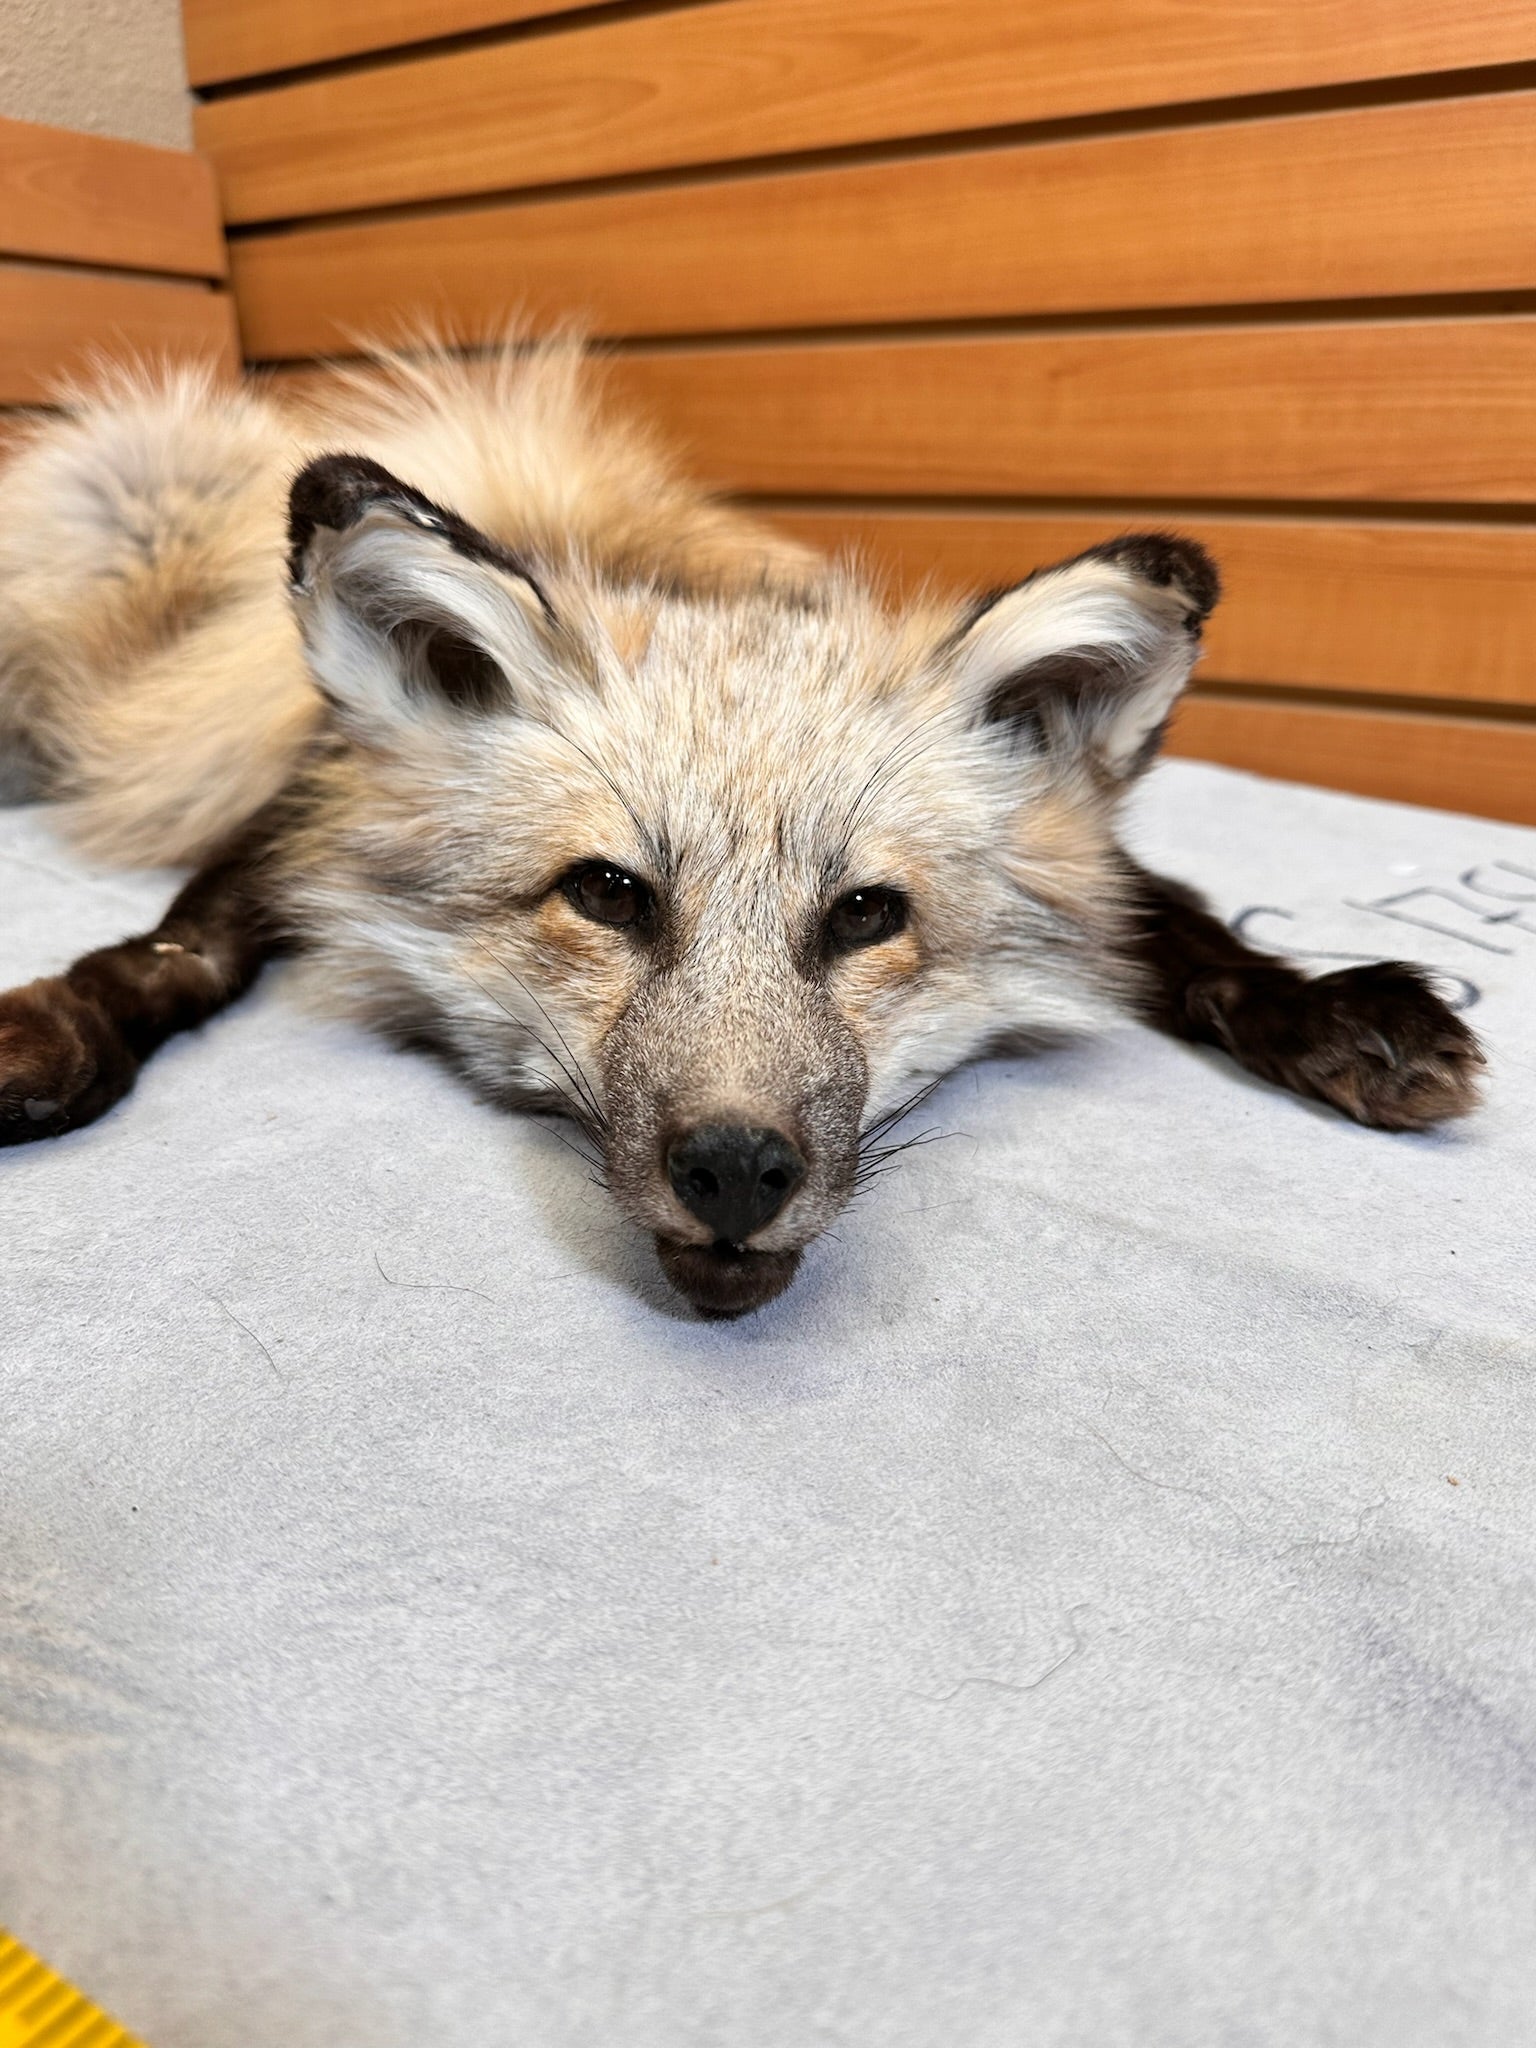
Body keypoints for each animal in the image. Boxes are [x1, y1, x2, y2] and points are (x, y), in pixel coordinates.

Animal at [0, 342, 1484, 1315]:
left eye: (867, 914)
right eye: (608, 893)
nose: (733, 1171)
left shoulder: (1103, 871)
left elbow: (1188, 926)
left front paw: (1338, 1012)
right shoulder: (309, 803)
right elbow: (178, 946)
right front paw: (61, 1024)